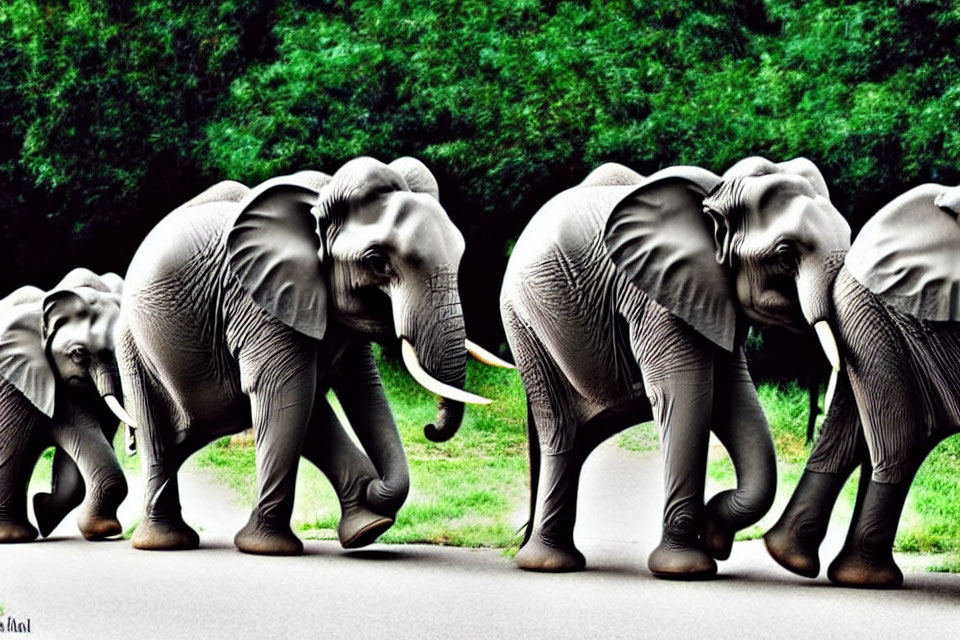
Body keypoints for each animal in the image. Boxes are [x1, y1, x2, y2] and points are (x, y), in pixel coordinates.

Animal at [119, 156, 506, 556]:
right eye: (377, 261)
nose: (430, 428)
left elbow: (355, 386)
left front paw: (368, 530)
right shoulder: (255, 301)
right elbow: (285, 393)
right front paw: (267, 549)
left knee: (307, 413)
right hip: (133, 349)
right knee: (162, 432)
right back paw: (164, 543)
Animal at [498, 158, 852, 576]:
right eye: (785, 252)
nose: (718, 542)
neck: (717, 195)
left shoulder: (713, 299)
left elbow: (733, 398)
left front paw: (714, 537)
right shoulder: (655, 297)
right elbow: (685, 394)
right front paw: (686, 568)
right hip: (524, 324)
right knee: (560, 430)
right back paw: (548, 564)